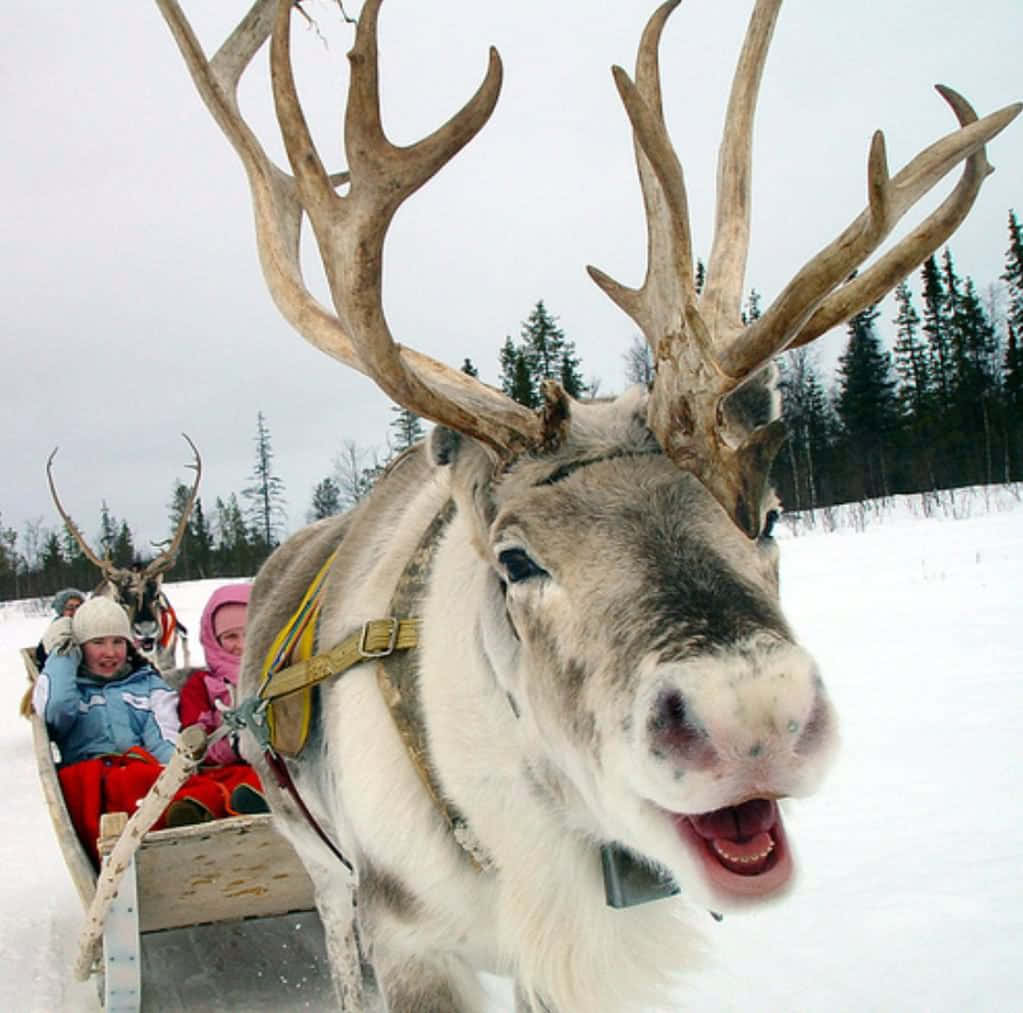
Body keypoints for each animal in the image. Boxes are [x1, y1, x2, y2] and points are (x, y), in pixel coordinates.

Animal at [154, 0, 1019, 1009]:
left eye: (768, 517)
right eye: (515, 557)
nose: (751, 716)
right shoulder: (406, 934)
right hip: (317, 861)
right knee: (333, 939)